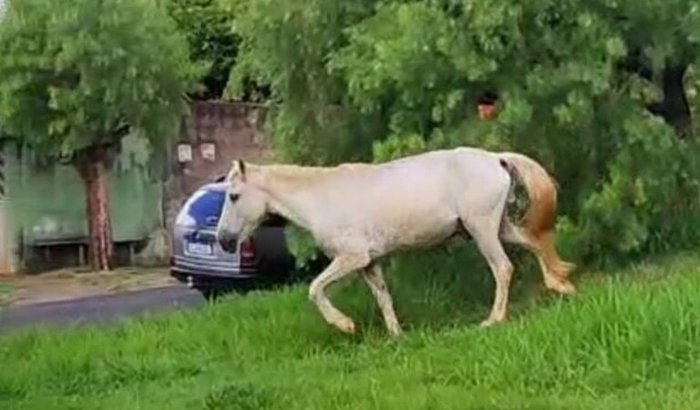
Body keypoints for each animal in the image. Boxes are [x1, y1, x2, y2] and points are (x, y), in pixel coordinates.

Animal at [215, 147, 575, 337]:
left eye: (234, 196)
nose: (222, 239)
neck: (322, 199)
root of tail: (495, 157)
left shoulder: (353, 257)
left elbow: (315, 288)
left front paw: (345, 325)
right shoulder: (370, 264)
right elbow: (384, 298)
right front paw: (396, 336)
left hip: (483, 229)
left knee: (503, 268)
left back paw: (492, 320)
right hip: (499, 228)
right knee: (535, 244)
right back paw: (562, 287)